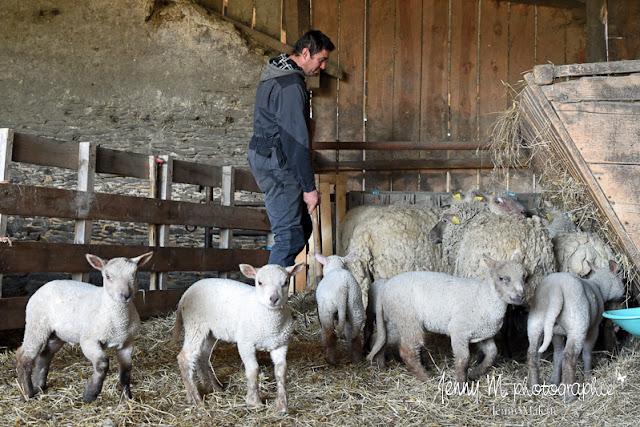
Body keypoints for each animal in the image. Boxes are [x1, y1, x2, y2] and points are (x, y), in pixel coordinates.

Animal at [15, 252, 153, 402]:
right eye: (108, 276)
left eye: (135, 274)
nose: (126, 295)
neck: (118, 322)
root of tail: (46, 285)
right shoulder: (88, 340)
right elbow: (102, 363)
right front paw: (90, 394)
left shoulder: (127, 343)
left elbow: (126, 371)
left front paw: (127, 398)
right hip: (37, 324)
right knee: (25, 357)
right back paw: (27, 393)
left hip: (57, 334)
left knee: (44, 355)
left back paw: (39, 386)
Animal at [170, 262, 304, 412]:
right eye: (259, 282)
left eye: (286, 282)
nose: (274, 299)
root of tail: (185, 294)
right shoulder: (246, 342)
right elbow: (253, 370)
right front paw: (254, 402)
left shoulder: (280, 344)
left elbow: (281, 372)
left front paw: (282, 405)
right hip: (195, 325)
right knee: (185, 358)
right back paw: (195, 399)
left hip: (209, 332)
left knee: (202, 357)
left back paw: (213, 387)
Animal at [368, 249, 528, 382]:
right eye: (502, 278)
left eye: (523, 276)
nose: (521, 297)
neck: (482, 297)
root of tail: (385, 287)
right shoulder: (459, 331)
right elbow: (463, 359)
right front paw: (461, 385)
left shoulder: (483, 334)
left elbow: (492, 354)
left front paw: (475, 373)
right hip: (408, 319)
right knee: (408, 351)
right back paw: (425, 377)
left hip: (396, 320)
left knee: (382, 338)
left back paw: (380, 364)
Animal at [528, 260, 628, 402]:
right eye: (622, 278)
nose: (625, 295)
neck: (600, 288)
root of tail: (555, 290)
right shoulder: (593, 328)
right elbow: (587, 353)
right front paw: (588, 375)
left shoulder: (556, 333)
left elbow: (557, 354)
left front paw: (554, 380)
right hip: (578, 323)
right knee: (569, 356)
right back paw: (570, 395)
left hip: (536, 321)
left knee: (533, 353)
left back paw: (534, 387)